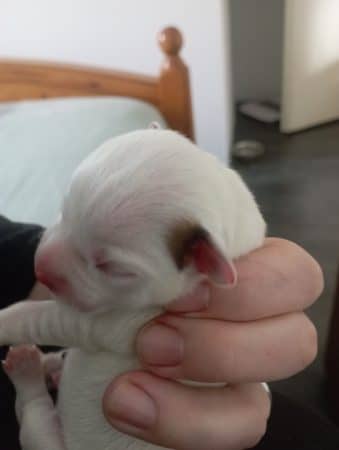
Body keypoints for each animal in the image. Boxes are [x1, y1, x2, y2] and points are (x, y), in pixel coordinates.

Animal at [0, 128, 266, 448]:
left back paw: (27, 368)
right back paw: (50, 364)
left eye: (111, 267)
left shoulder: (121, 321)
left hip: (47, 439)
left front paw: (5, 320)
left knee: (32, 412)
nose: (40, 269)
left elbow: (40, 316)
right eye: (63, 212)